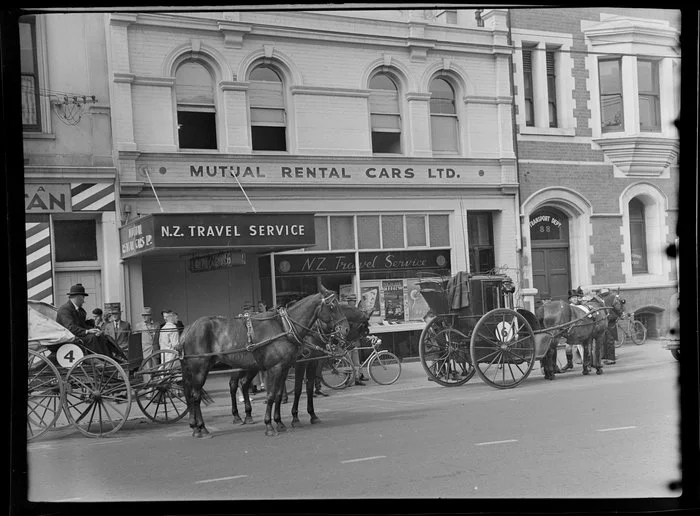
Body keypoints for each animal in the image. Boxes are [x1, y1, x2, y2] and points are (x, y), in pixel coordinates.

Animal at [178, 288, 348, 438]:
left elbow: (280, 394)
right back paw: (202, 428)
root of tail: (189, 328)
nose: (346, 329)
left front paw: (280, 422)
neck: (284, 327)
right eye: (332, 306)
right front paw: (271, 425)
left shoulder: (286, 367)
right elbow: (274, 394)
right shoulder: (278, 368)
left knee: (235, 385)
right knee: (198, 395)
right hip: (200, 369)